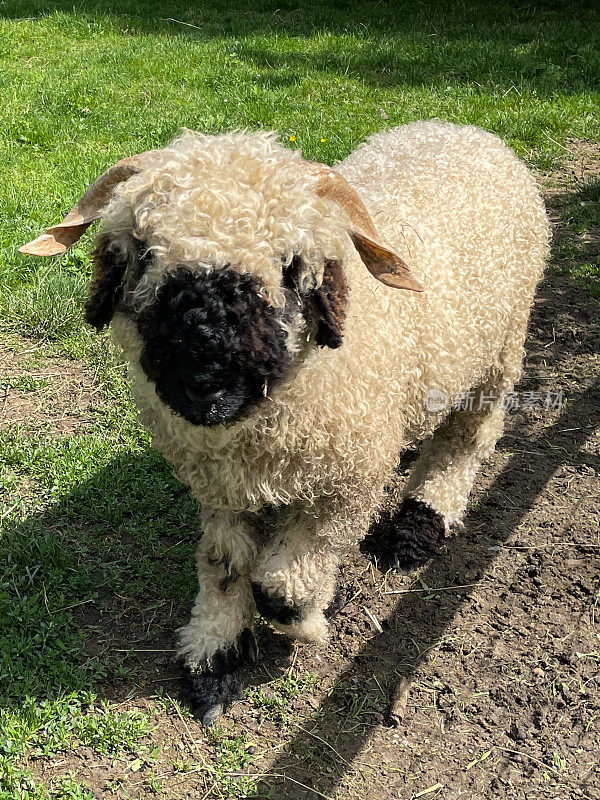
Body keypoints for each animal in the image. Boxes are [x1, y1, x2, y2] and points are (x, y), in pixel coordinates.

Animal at [22, 123, 548, 724]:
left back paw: (418, 524)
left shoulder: (346, 485)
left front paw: (312, 619)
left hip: (500, 350)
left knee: (467, 439)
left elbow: (281, 588)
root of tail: (462, 129)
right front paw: (215, 656)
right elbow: (224, 565)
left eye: (289, 264)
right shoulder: (222, 487)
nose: (206, 361)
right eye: (144, 252)